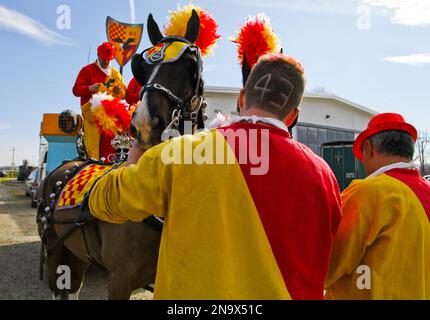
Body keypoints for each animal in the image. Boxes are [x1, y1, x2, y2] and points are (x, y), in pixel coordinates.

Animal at [35, 10, 207, 300]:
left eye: (190, 63)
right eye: (142, 67)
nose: (145, 124)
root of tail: (68, 163)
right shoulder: (119, 280)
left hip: (77, 255)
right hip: (55, 249)